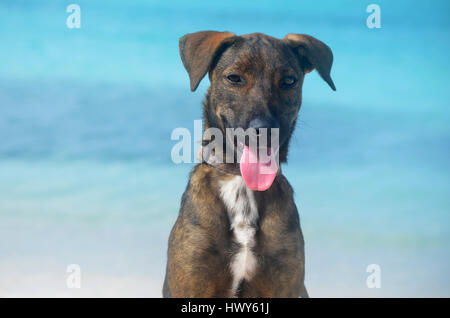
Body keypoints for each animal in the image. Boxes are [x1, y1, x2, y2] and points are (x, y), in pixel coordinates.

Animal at [162, 31, 334, 296]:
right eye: (234, 78)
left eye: (289, 81)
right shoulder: (192, 281)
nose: (264, 130)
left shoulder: (285, 281)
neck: (240, 182)